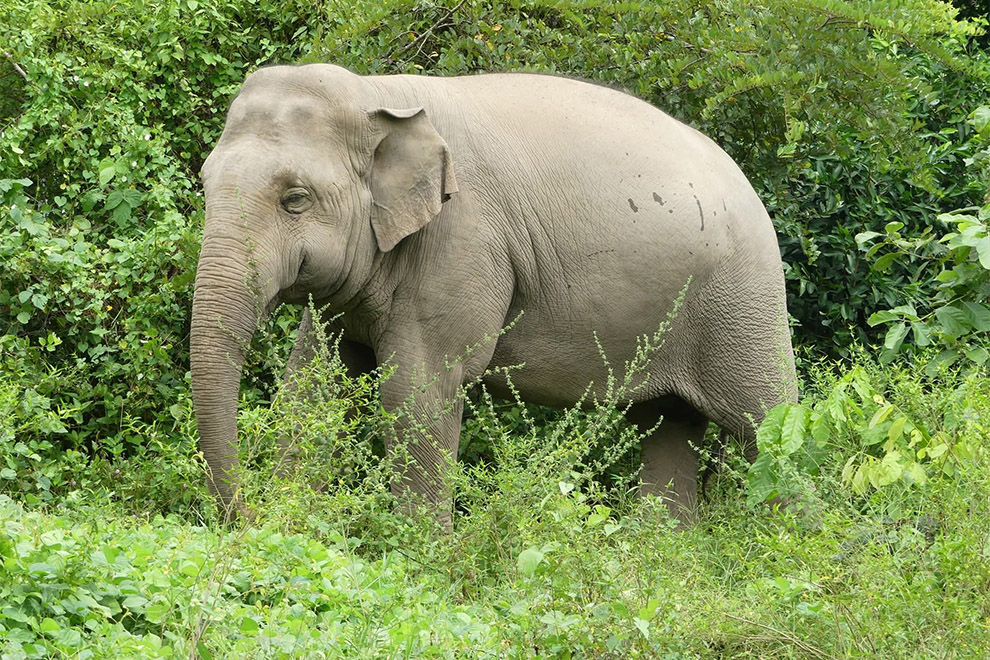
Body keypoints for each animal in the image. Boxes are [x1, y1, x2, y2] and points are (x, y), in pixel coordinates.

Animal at [190, 63, 797, 525]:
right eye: (204, 184)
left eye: (295, 199)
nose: (246, 517)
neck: (380, 95)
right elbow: (312, 386)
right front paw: (292, 525)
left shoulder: (462, 244)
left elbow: (419, 391)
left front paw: (419, 555)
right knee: (670, 424)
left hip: (743, 302)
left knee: (769, 425)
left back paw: (787, 545)